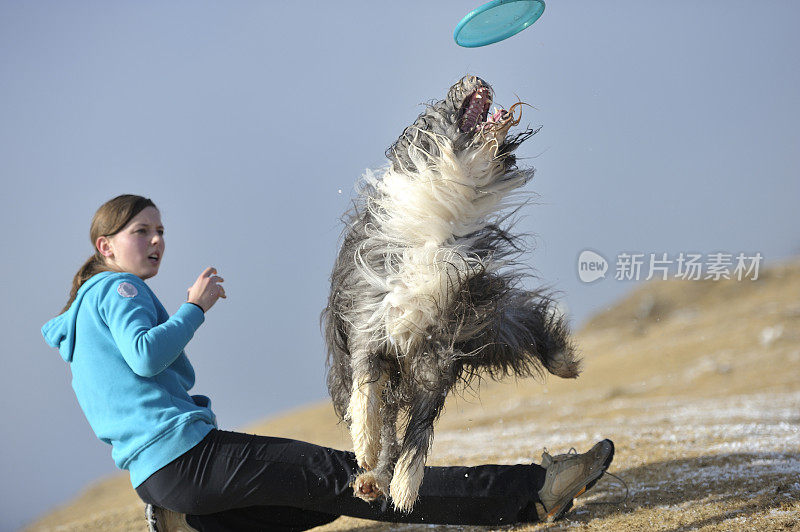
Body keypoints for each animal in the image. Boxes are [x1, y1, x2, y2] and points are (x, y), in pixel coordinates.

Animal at [320, 75, 580, 512]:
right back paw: (372, 476)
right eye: (444, 100)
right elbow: (366, 392)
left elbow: (421, 426)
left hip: (488, 326)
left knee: (526, 322)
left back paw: (563, 361)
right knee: (384, 415)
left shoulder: (444, 343)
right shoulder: (370, 322)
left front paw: (406, 487)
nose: (473, 77)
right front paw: (365, 447)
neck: (444, 199)